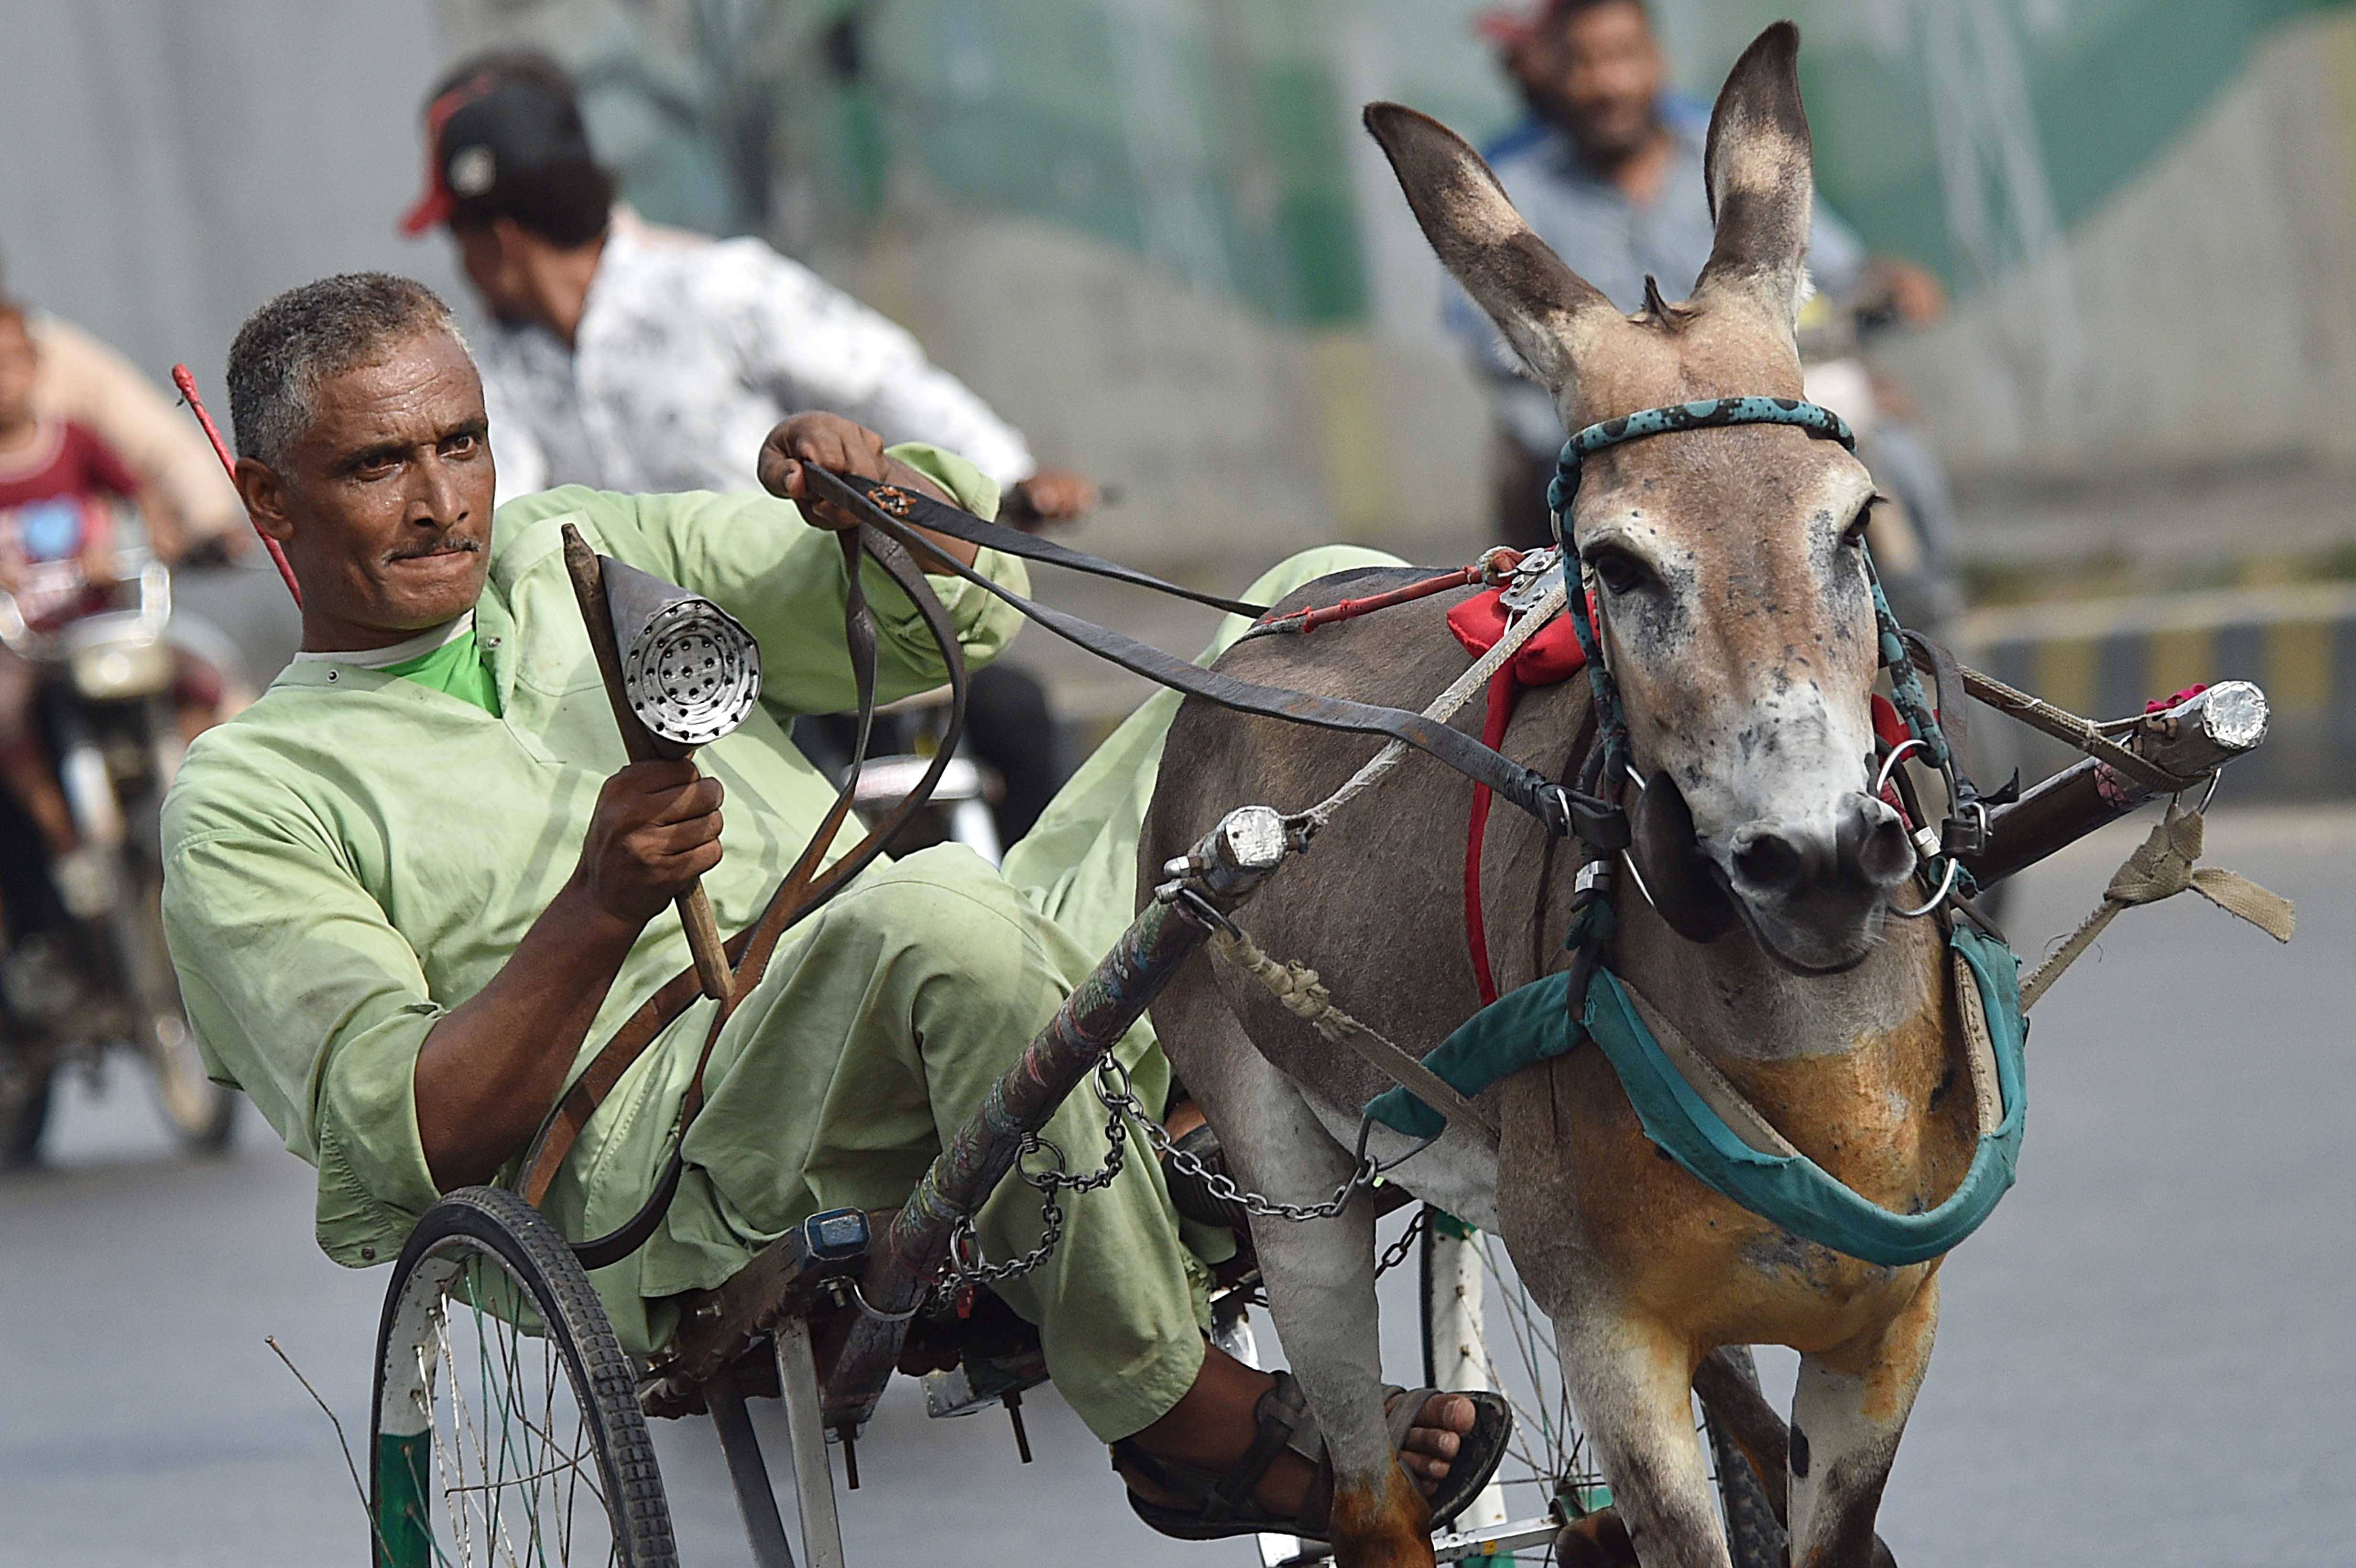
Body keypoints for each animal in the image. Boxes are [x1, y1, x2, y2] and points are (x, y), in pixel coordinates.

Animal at [1142, 25, 1978, 1568]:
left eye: (1855, 524)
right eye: (1615, 562)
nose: (1824, 859)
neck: (1808, 1063)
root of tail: (1271, 630)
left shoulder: (1887, 1328)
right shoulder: (1608, 1331)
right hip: (1278, 1166)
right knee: (1367, 1495)